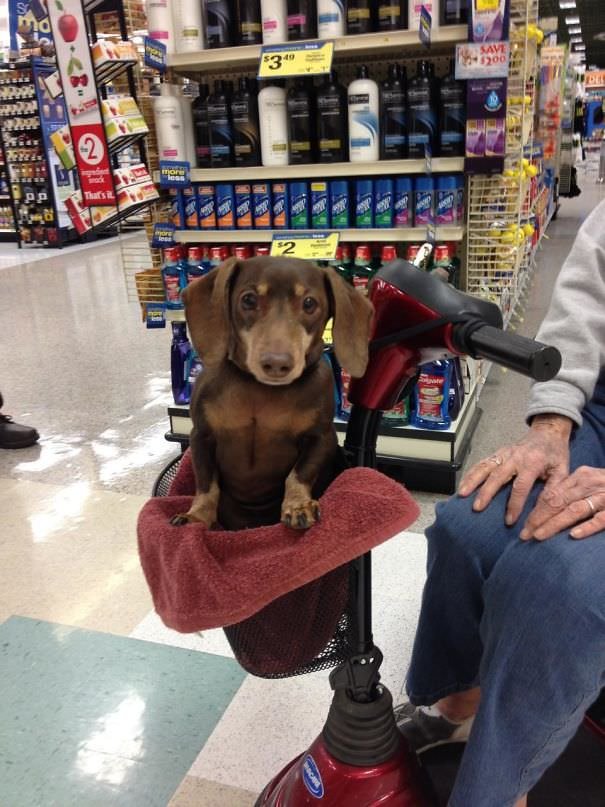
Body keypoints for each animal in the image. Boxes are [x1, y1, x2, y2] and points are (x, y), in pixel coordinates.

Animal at [171, 256, 372, 532]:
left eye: (309, 303)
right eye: (248, 300)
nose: (276, 364)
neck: (260, 388)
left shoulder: (322, 438)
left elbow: (298, 475)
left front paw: (298, 506)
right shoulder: (201, 436)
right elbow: (206, 484)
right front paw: (197, 516)